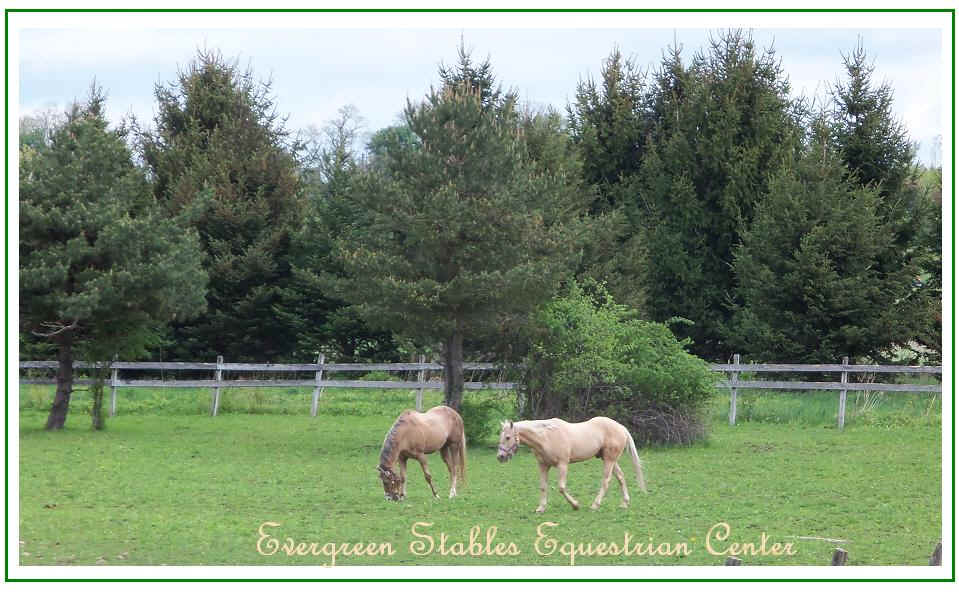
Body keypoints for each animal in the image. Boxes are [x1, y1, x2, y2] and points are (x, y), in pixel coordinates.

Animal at [498, 420, 648, 512]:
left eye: (507, 437)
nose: (500, 457)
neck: (546, 437)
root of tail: (621, 427)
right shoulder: (543, 465)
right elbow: (543, 487)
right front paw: (541, 508)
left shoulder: (563, 464)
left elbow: (561, 487)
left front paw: (575, 505)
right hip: (610, 459)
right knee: (621, 477)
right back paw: (624, 503)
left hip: (609, 460)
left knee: (606, 481)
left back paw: (595, 505)